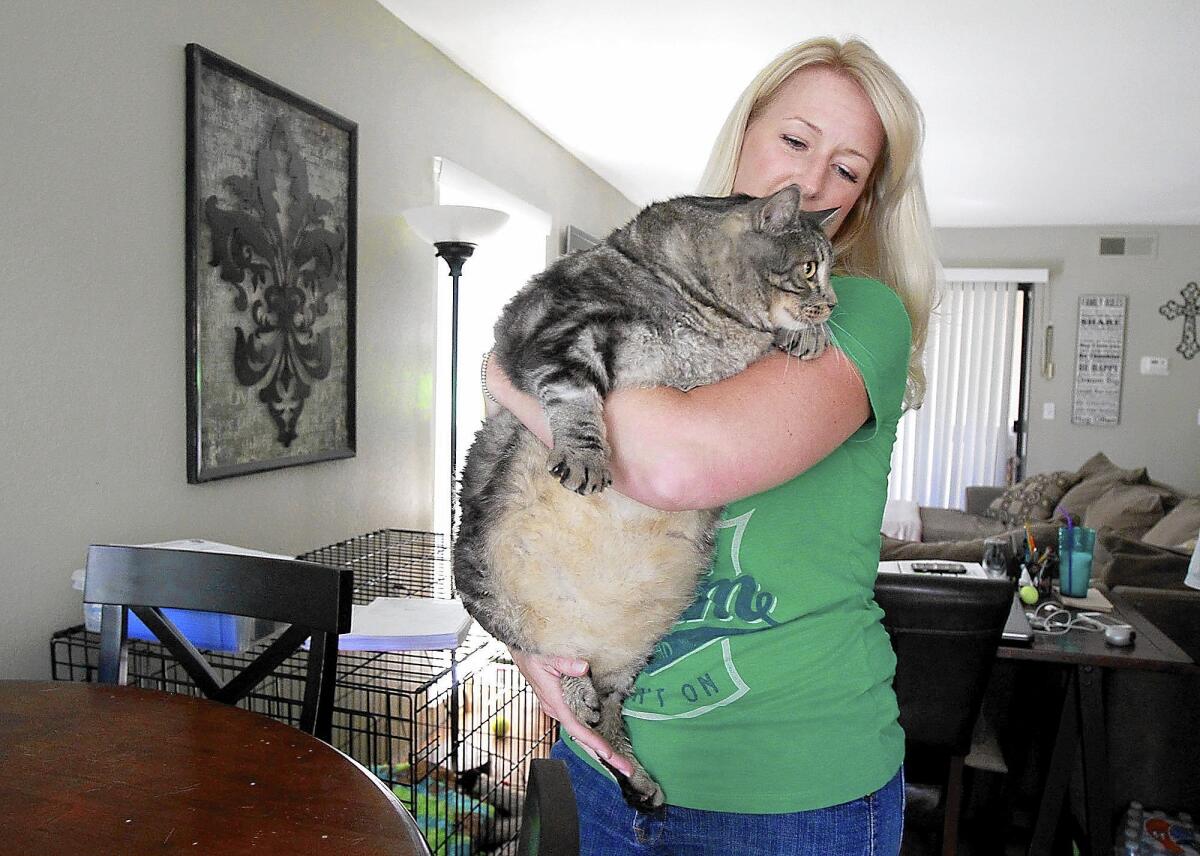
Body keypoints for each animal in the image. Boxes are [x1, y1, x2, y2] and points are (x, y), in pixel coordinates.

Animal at [453, 183, 840, 811]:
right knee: (545, 658)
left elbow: (770, 338)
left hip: (629, 659)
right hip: (481, 586)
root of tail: (585, 639)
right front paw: (586, 456)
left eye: (830, 271)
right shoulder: (548, 330)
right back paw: (577, 695)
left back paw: (635, 772)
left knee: (608, 716)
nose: (831, 303)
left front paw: (806, 335)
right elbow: (573, 396)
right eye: (810, 268)